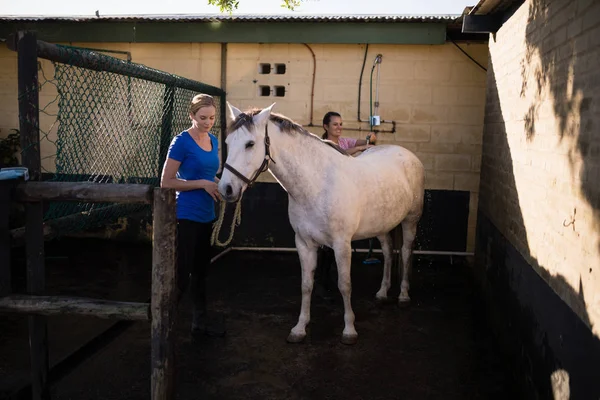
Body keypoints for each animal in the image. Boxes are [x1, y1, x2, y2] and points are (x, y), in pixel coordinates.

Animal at [218, 102, 424, 344]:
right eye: (227, 143)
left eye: (250, 144)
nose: (226, 189)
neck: (317, 183)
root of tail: (408, 155)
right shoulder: (304, 243)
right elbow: (306, 285)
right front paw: (299, 329)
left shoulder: (342, 245)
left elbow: (345, 285)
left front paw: (349, 330)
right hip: (382, 226)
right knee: (389, 252)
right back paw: (382, 293)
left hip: (410, 221)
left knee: (406, 252)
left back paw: (403, 295)